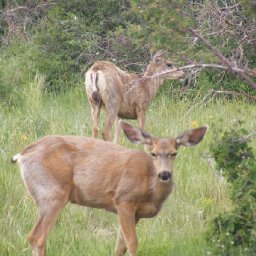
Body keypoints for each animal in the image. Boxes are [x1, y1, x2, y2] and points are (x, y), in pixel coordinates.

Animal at [12, 122, 208, 256]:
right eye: (153, 153)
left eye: (175, 153)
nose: (165, 174)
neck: (150, 189)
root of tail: (22, 155)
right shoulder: (124, 200)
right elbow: (132, 242)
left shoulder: (135, 213)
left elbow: (120, 246)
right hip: (53, 193)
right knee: (36, 237)